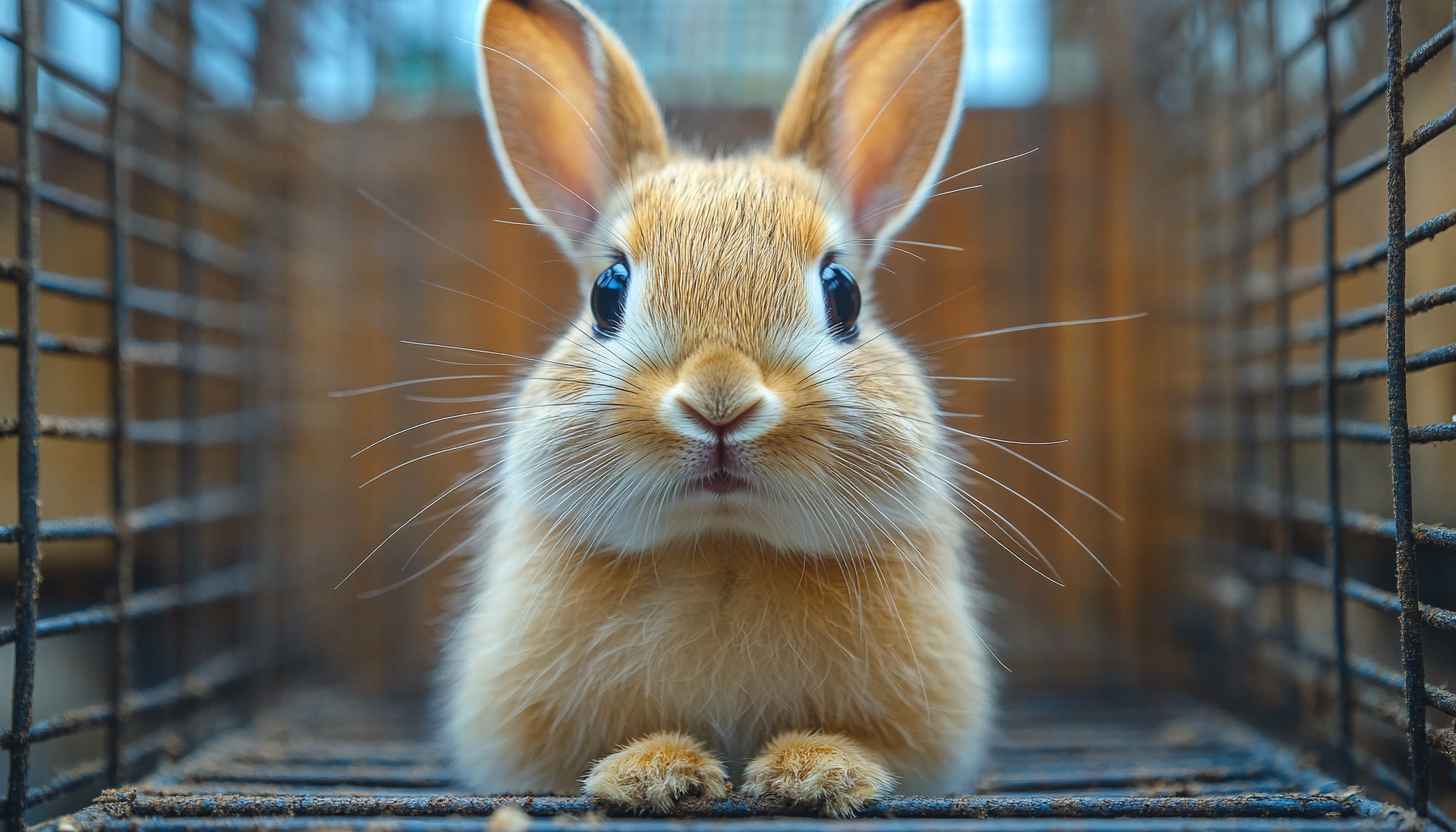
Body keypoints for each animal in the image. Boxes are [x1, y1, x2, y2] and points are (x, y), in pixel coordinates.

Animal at [443, 0, 994, 817]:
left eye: (842, 294)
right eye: (607, 291)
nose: (720, 397)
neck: (723, 543)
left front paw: (817, 772)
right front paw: (653, 773)